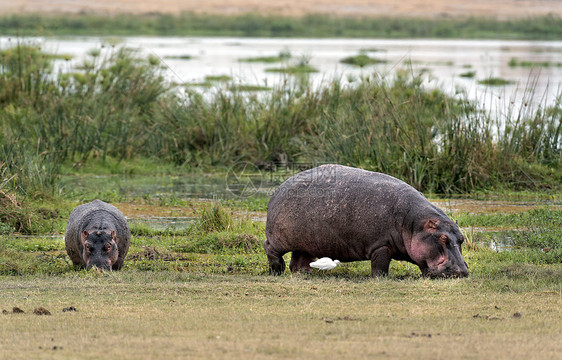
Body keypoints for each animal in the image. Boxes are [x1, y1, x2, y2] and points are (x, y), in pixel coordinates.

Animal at [264, 164, 466, 278]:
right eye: (442, 238)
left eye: (462, 239)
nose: (463, 271)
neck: (412, 224)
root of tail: (279, 188)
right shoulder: (380, 245)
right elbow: (380, 266)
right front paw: (380, 279)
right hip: (280, 238)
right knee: (270, 248)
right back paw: (277, 270)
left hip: (306, 242)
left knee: (299, 260)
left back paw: (305, 272)